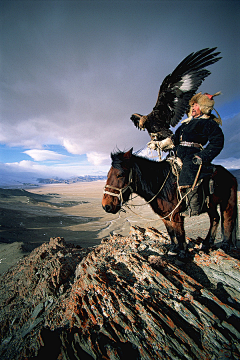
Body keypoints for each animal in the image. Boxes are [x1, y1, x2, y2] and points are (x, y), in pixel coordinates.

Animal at [102, 148, 239, 260]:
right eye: (107, 175)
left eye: (120, 174)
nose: (106, 206)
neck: (161, 185)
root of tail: (230, 175)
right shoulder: (165, 215)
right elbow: (171, 232)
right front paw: (174, 249)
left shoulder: (176, 214)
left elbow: (179, 233)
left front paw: (182, 253)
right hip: (211, 206)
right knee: (215, 218)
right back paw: (206, 244)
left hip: (228, 203)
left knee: (228, 220)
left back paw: (225, 246)